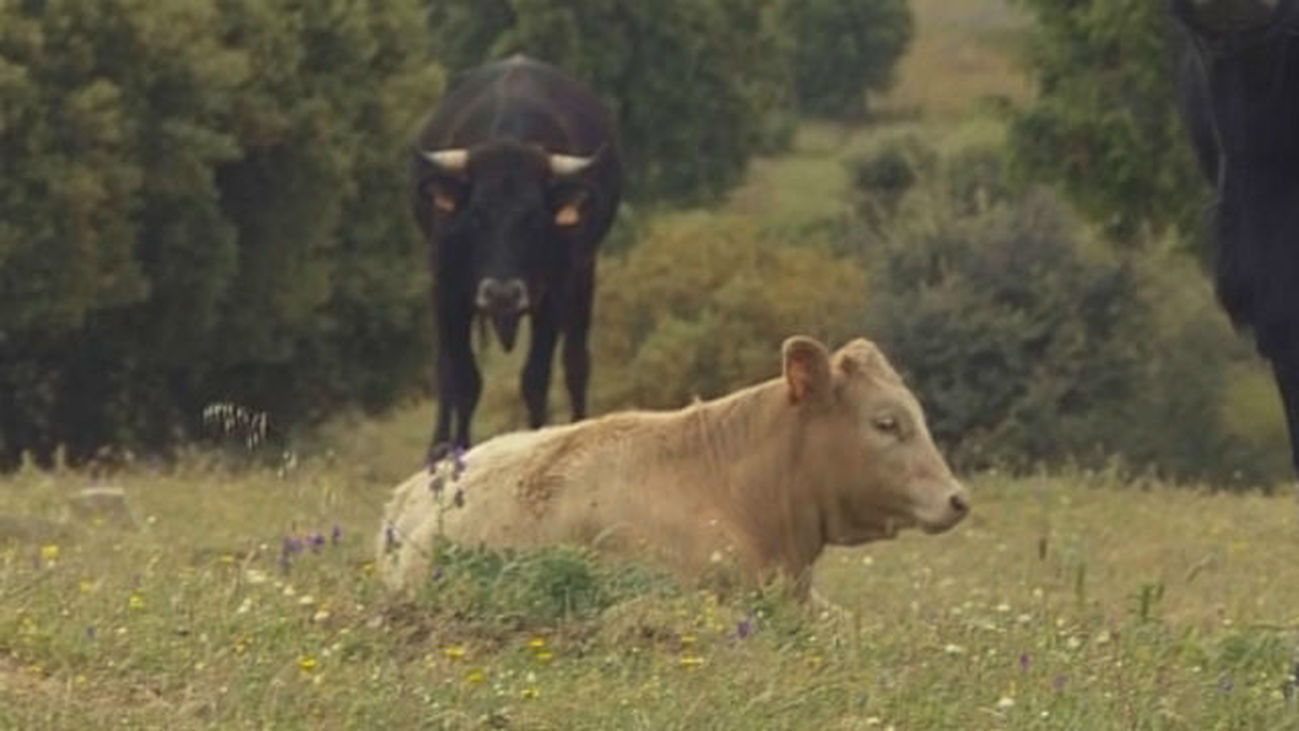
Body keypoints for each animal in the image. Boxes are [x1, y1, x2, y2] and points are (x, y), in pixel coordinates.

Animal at [410, 55, 622, 461]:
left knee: (576, 363)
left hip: (584, 277)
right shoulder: (446, 287)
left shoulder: (556, 293)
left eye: (535, 219)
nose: (502, 294)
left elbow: (535, 378)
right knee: (445, 368)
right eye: (476, 215)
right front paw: (456, 449)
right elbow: (462, 378)